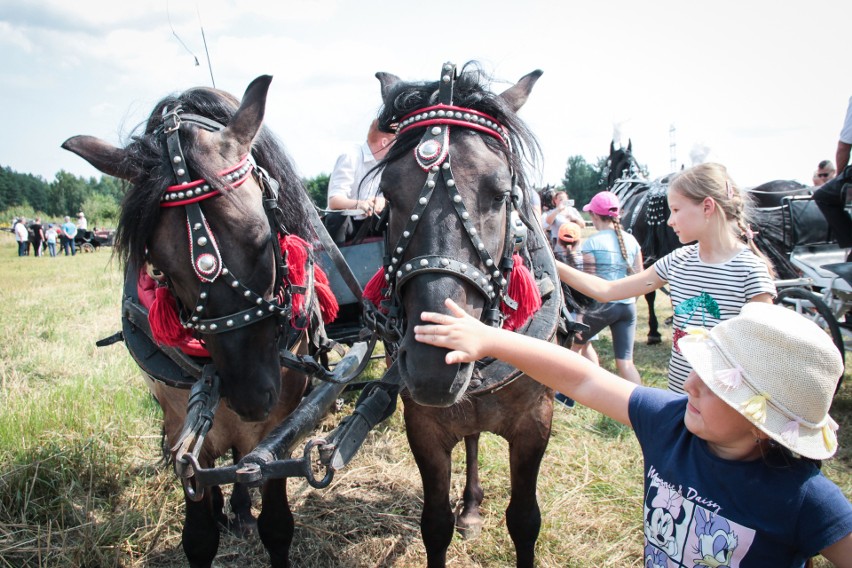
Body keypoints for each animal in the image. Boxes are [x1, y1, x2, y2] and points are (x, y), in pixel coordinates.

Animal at [60, 76, 320, 568]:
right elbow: (197, 529)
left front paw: (251, 512)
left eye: (263, 240)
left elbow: (276, 519)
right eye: (158, 267)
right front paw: (212, 514)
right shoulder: (181, 417)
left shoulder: (281, 420)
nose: (251, 396)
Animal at [372, 63, 560, 568]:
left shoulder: (536, 423)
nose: (433, 367)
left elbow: (525, 521)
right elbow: (433, 524)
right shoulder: (424, 426)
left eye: (500, 194)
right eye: (388, 195)